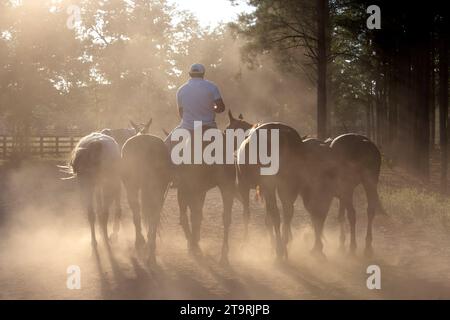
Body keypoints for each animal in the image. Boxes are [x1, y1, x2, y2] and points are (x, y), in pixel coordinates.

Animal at [121, 120, 171, 264]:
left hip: (134, 187)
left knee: (138, 213)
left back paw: (142, 242)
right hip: (156, 189)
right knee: (153, 214)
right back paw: (150, 244)